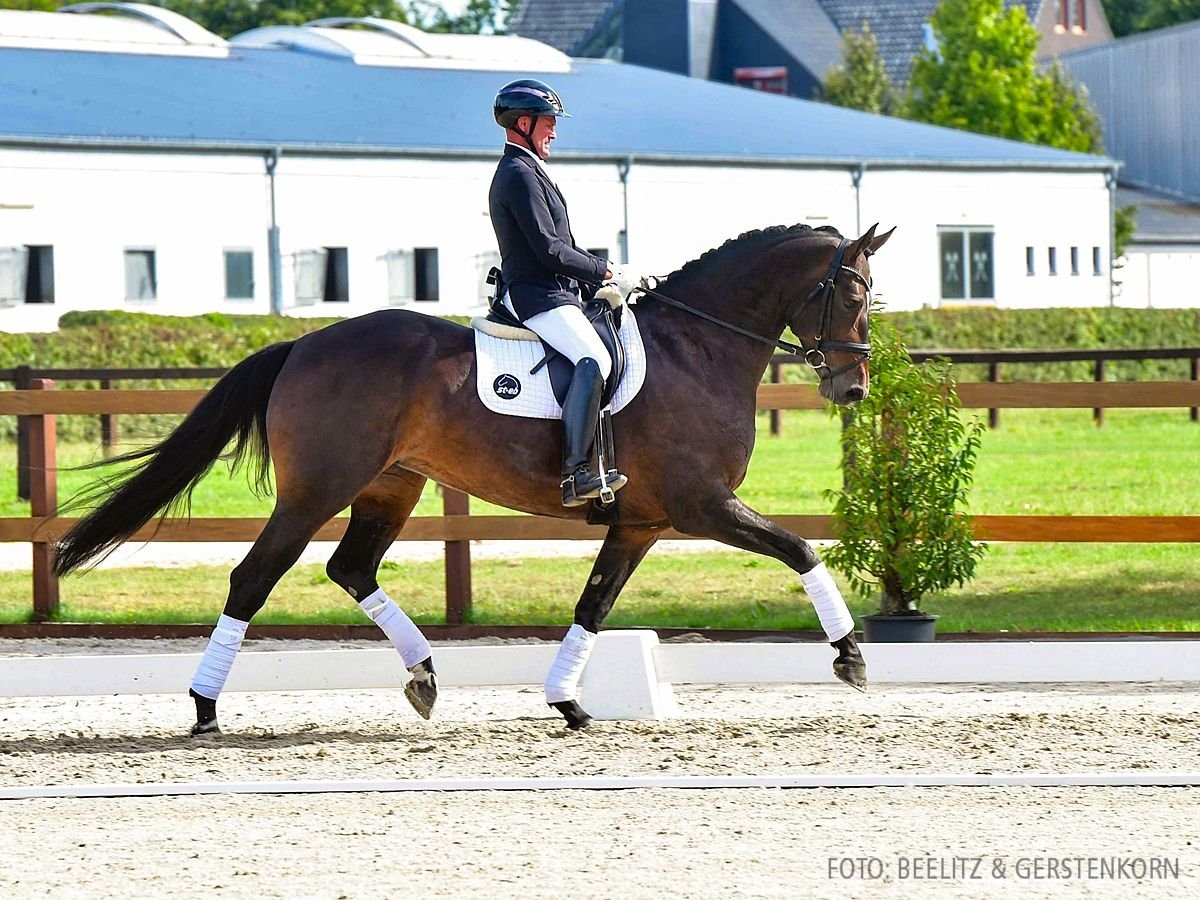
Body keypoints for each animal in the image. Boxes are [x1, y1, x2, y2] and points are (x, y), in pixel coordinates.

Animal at [51, 222, 892, 734]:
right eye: (853, 293)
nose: (852, 389)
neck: (699, 348)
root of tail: (303, 344)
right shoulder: (702, 505)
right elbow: (800, 550)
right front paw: (850, 656)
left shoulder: (642, 521)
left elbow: (593, 605)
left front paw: (567, 702)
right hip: (317, 490)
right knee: (253, 578)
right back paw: (203, 707)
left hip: (392, 485)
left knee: (350, 568)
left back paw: (424, 675)